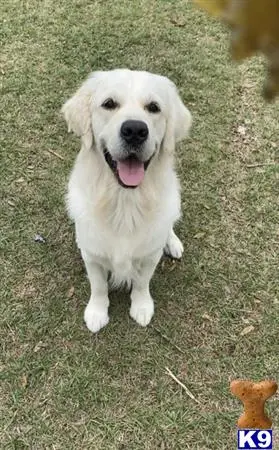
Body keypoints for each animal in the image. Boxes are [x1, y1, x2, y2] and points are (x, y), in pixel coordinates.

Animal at [61, 68, 192, 332]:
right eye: (109, 104)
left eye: (153, 107)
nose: (134, 130)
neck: (124, 203)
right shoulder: (91, 254)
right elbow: (98, 286)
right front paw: (97, 312)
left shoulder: (150, 255)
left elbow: (142, 282)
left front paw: (141, 307)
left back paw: (173, 242)